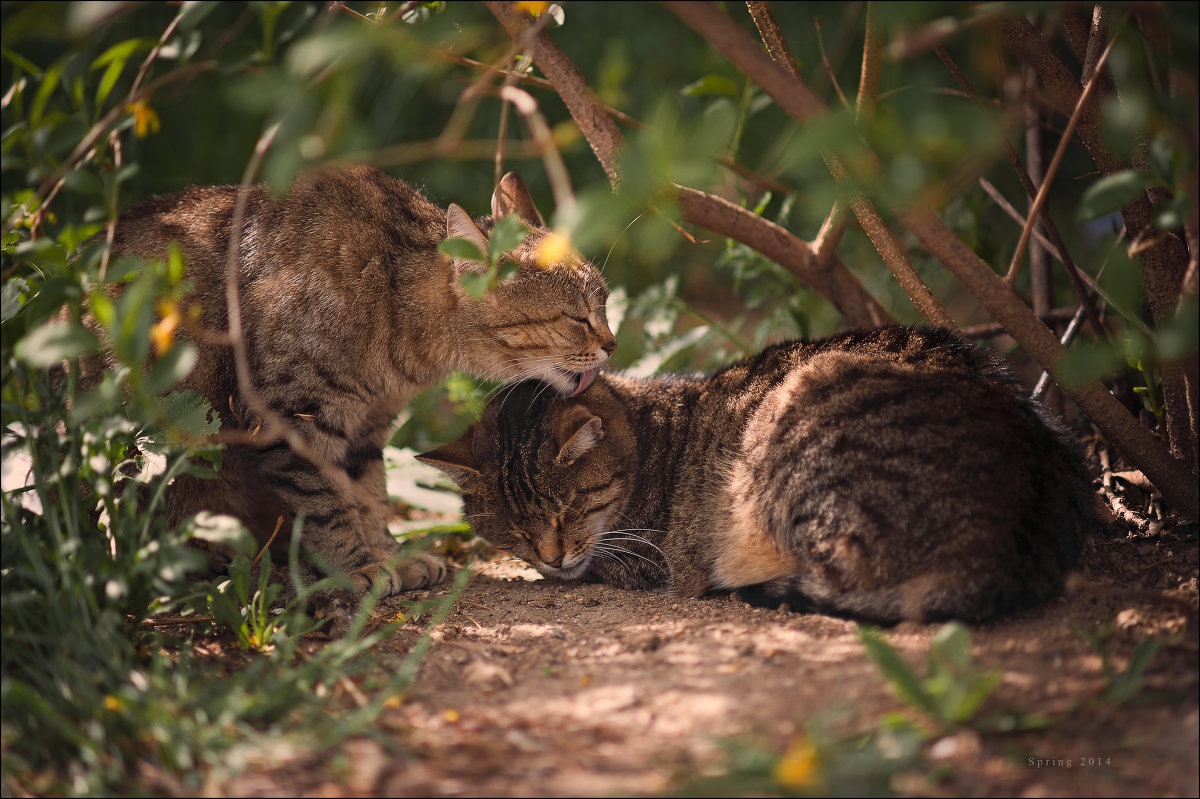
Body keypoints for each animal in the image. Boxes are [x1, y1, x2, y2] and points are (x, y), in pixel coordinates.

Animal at [100, 164, 609, 595]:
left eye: (604, 303)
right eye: (577, 318)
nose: (613, 344)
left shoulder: (367, 426)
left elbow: (368, 495)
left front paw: (387, 555)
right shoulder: (291, 418)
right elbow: (326, 503)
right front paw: (356, 567)